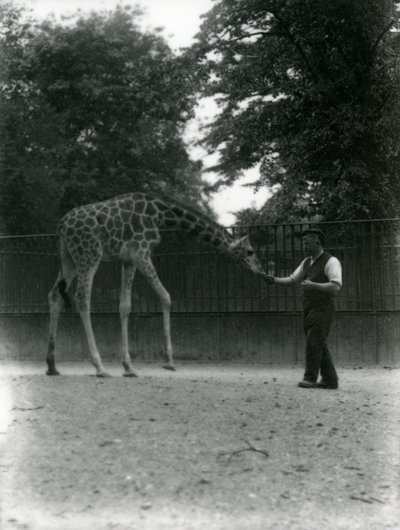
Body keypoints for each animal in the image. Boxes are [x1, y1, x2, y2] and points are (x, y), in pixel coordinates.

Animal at [46, 191, 266, 376]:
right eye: (250, 251)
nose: (265, 274)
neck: (161, 214)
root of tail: (62, 225)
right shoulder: (141, 253)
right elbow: (165, 296)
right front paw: (169, 361)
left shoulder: (128, 259)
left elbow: (125, 306)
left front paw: (128, 367)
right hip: (89, 254)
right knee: (82, 297)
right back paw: (99, 366)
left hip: (68, 258)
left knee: (55, 295)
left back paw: (52, 365)